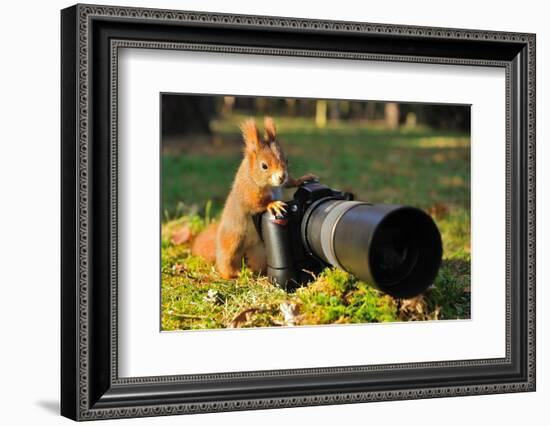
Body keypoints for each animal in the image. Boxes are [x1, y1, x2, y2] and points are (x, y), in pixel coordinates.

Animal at [192, 117, 316, 280]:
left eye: (287, 160)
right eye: (264, 166)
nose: (281, 176)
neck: (269, 185)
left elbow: (290, 182)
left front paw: (303, 179)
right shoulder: (248, 191)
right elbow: (255, 203)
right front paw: (273, 204)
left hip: (260, 250)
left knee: (257, 262)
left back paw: (257, 273)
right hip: (232, 239)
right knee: (225, 260)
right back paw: (233, 274)